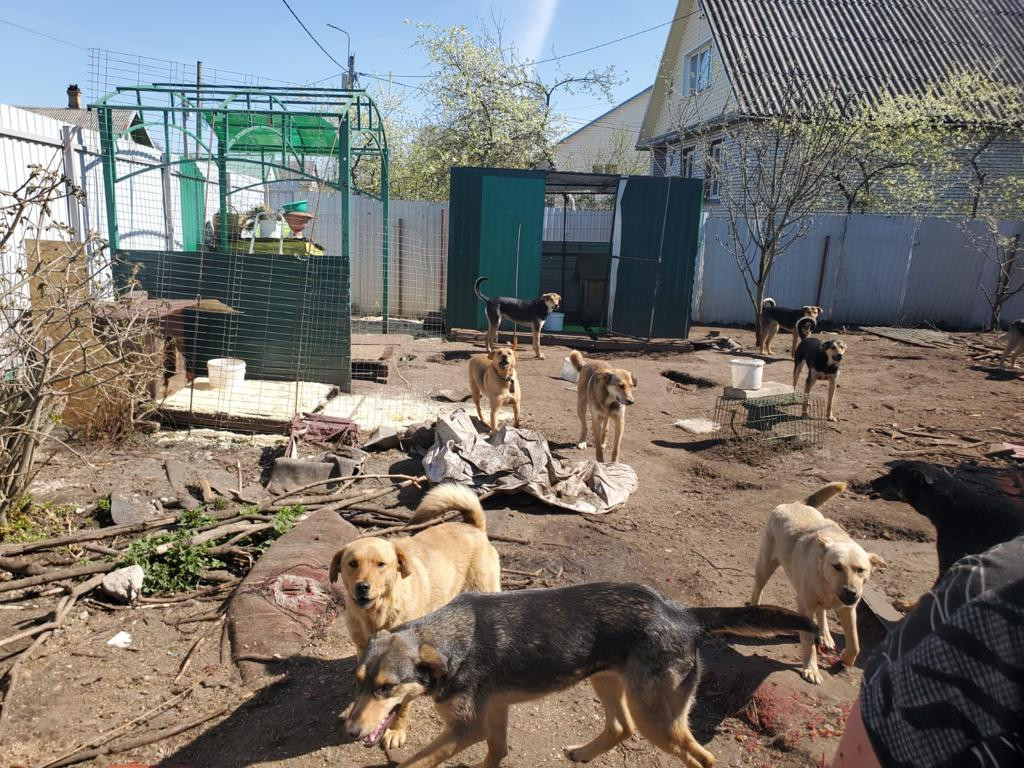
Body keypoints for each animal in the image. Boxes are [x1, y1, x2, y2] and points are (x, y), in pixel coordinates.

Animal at [330, 483, 500, 748]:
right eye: (352, 563)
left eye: (381, 564)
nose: (362, 587)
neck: (377, 615)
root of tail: (472, 527)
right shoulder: (363, 650)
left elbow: (403, 704)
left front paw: (395, 730)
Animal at [344, 582, 816, 768]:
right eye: (359, 681)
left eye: (387, 688)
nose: (349, 731)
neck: (448, 641)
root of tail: (683, 614)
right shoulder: (493, 716)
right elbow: (496, 753)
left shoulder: (468, 727)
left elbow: (417, 762)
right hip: (606, 682)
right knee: (620, 727)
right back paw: (584, 753)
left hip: (656, 717)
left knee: (703, 757)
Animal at [750, 482, 885, 684]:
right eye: (837, 566)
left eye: (861, 570)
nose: (851, 593)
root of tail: (795, 503)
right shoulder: (805, 607)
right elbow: (808, 642)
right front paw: (811, 668)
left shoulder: (848, 610)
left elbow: (855, 643)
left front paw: (846, 659)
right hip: (766, 565)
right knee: (758, 586)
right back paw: (754, 607)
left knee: (822, 612)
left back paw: (825, 635)